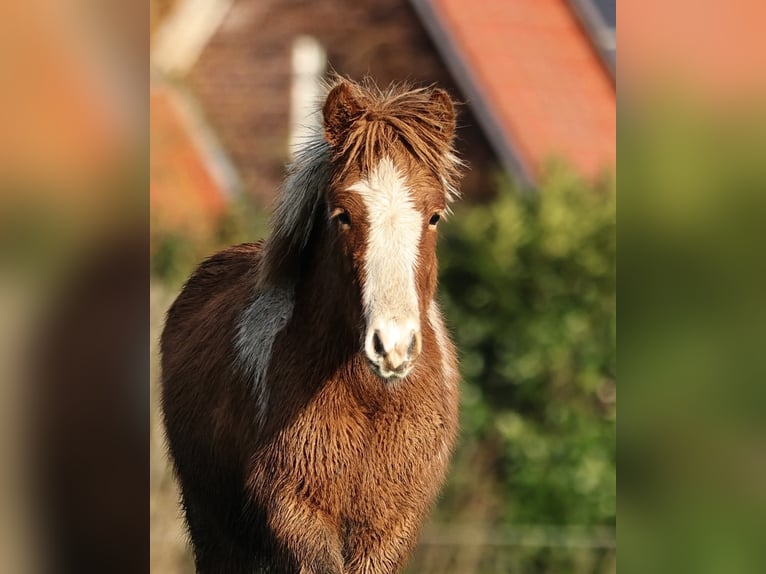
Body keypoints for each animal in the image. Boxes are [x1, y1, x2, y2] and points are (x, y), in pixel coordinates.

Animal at [160, 77, 464, 573]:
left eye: (434, 216)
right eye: (343, 214)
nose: (392, 346)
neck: (370, 401)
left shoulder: (389, 526)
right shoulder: (296, 512)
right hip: (214, 527)